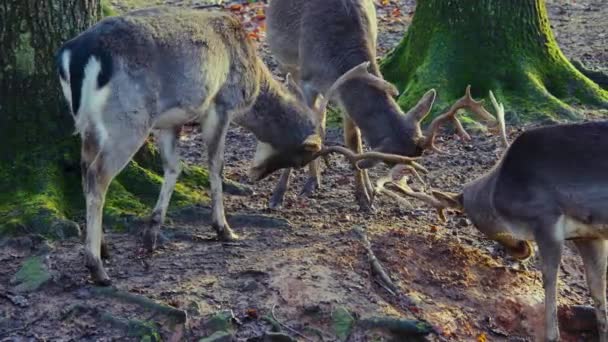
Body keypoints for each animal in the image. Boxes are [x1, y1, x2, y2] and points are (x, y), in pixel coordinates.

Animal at [384, 117, 608, 340]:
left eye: (476, 222)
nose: (519, 251)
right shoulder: (588, 235)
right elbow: (597, 291)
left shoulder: (546, 218)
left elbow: (549, 279)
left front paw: (552, 335)